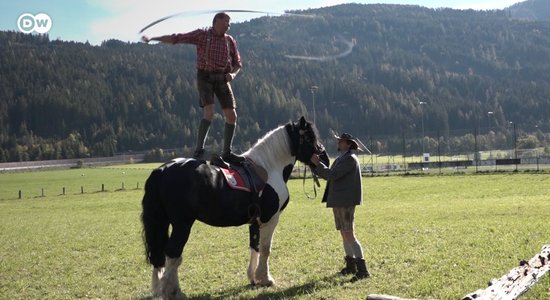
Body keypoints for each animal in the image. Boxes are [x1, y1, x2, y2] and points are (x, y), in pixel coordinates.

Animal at [143, 116, 332, 298]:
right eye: (309, 137)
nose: (325, 158)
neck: (270, 168)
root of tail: (162, 169)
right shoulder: (270, 219)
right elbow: (266, 249)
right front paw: (266, 278)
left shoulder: (255, 221)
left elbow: (255, 246)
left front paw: (254, 278)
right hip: (182, 224)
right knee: (173, 253)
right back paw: (173, 292)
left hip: (163, 222)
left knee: (161, 255)